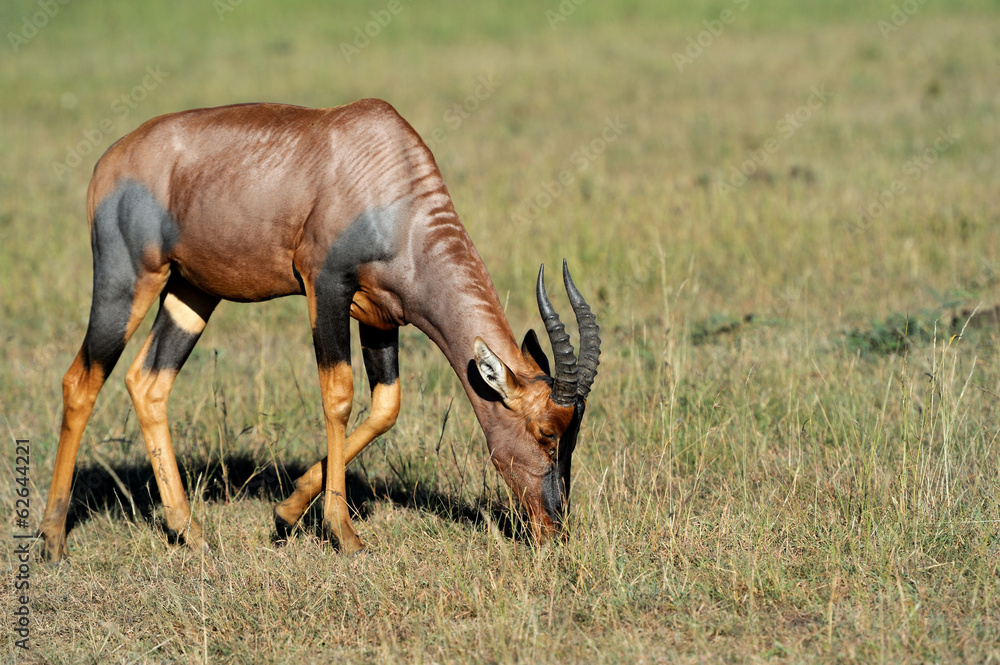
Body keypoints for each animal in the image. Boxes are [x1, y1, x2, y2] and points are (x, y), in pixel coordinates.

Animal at [41, 97, 600, 556]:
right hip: (127, 280)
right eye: (546, 433)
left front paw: (286, 513)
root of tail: (109, 161)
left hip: (191, 293)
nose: (554, 530)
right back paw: (53, 538)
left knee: (148, 382)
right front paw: (343, 533)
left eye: (574, 436)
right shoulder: (326, 286)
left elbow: (386, 407)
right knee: (81, 380)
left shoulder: (381, 316)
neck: (387, 174)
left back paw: (190, 532)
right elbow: (339, 395)